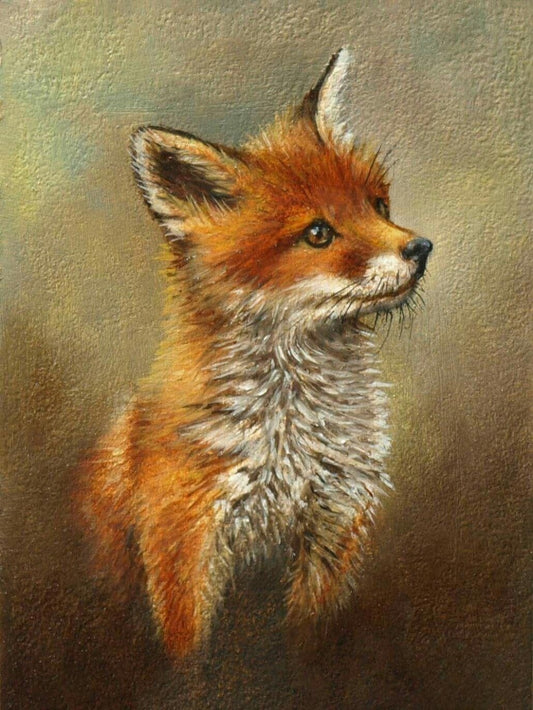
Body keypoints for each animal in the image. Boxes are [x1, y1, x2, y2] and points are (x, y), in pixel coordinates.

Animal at [79, 48, 432, 661]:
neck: (297, 432)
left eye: (378, 205)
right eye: (318, 234)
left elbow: (308, 633)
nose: (421, 248)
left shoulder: (333, 523)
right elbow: (189, 650)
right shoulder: (184, 540)